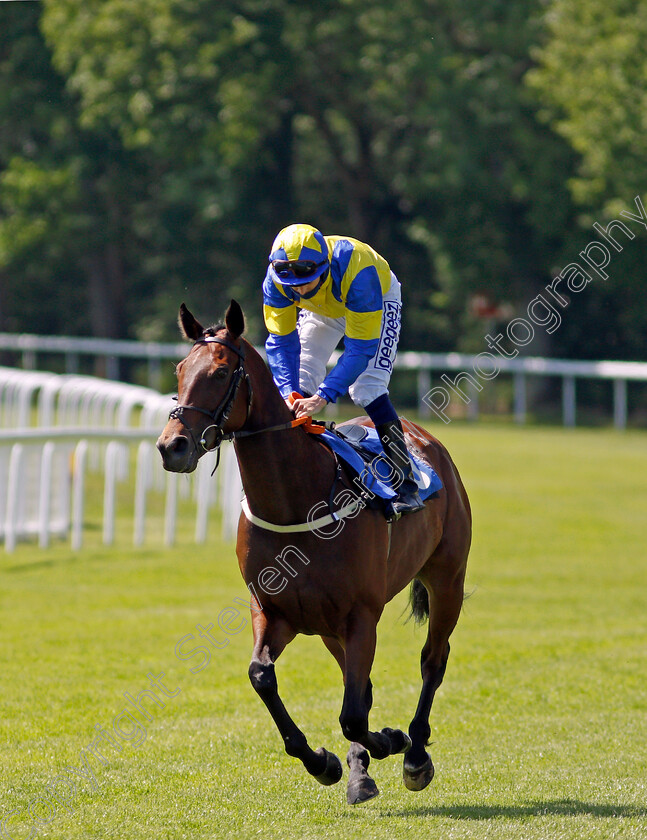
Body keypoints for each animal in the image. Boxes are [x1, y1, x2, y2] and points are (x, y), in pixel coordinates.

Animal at [157, 298, 470, 804]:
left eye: (221, 372)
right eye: (180, 369)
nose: (172, 446)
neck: (294, 501)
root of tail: (425, 438)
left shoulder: (362, 615)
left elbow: (354, 714)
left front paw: (393, 742)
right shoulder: (275, 610)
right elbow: (264, 676)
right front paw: (326, 762)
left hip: (447, 580)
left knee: (432, 660)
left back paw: (416, 753)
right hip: (328, 627)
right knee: (361, 684)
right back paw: (363, 769)